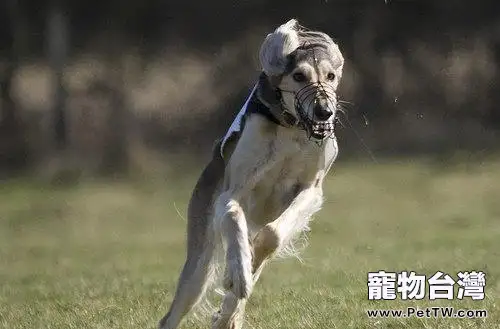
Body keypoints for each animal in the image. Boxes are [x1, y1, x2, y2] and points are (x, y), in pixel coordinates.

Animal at [159, 18, 344, 328]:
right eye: (299, 76)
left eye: (330, 76)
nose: (324, 112)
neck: (290, 127)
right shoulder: (231, 193)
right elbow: (234, 219)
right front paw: (238, 274)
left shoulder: (310, 189)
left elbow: (272, 236)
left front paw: (247, 267)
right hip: (198, 263)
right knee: (172, 314)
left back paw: (229, 310)